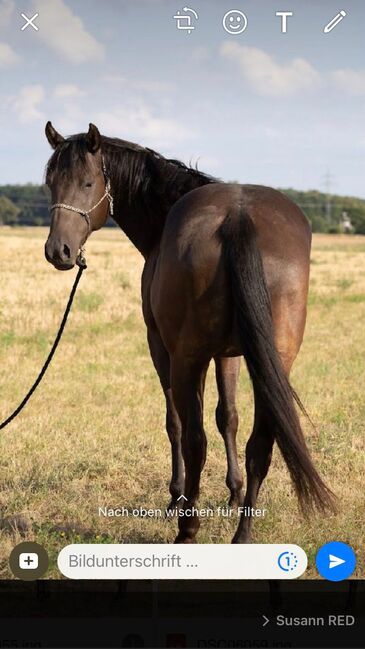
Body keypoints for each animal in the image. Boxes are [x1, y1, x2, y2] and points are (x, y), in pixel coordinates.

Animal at [44, 121, 334, 540]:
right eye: (50, 183)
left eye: (87, 183)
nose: (59, 251)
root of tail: (237, 218)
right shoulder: (230, 355)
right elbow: (228, 416)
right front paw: (233, 493)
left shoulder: (163, 348)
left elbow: (176, 424)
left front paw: (175, 496)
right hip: (274, 362)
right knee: (260, 445)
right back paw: (242, 535)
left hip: (187, 358)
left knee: (194, 439)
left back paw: (187, 527)